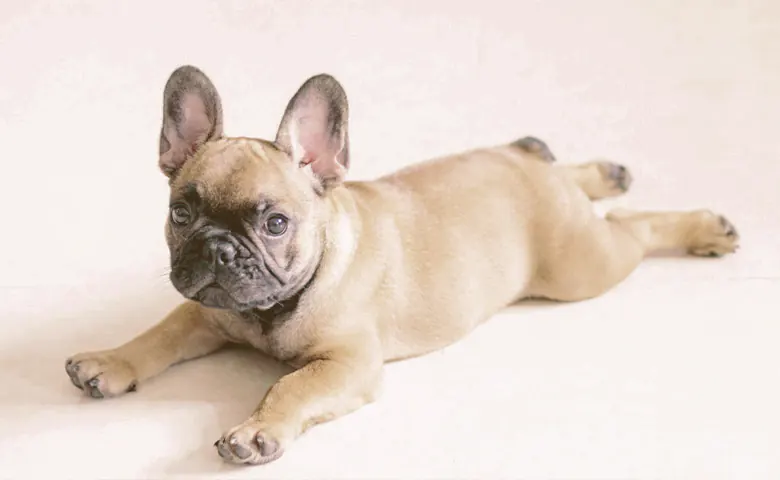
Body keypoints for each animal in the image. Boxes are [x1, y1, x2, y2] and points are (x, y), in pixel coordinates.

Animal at [64, 64, 740, 464]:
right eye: (181, 212)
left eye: (275, 223)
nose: (218, 248)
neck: (270, 309)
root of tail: (530, 172)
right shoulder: (204, 313)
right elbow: (157, 335)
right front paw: (110, 361)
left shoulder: (347, 364)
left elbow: (289, 385)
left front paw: (257, 429)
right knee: (565, 172)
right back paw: (599, 170)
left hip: (582, 267)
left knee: (633, 228)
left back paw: (703, 228)